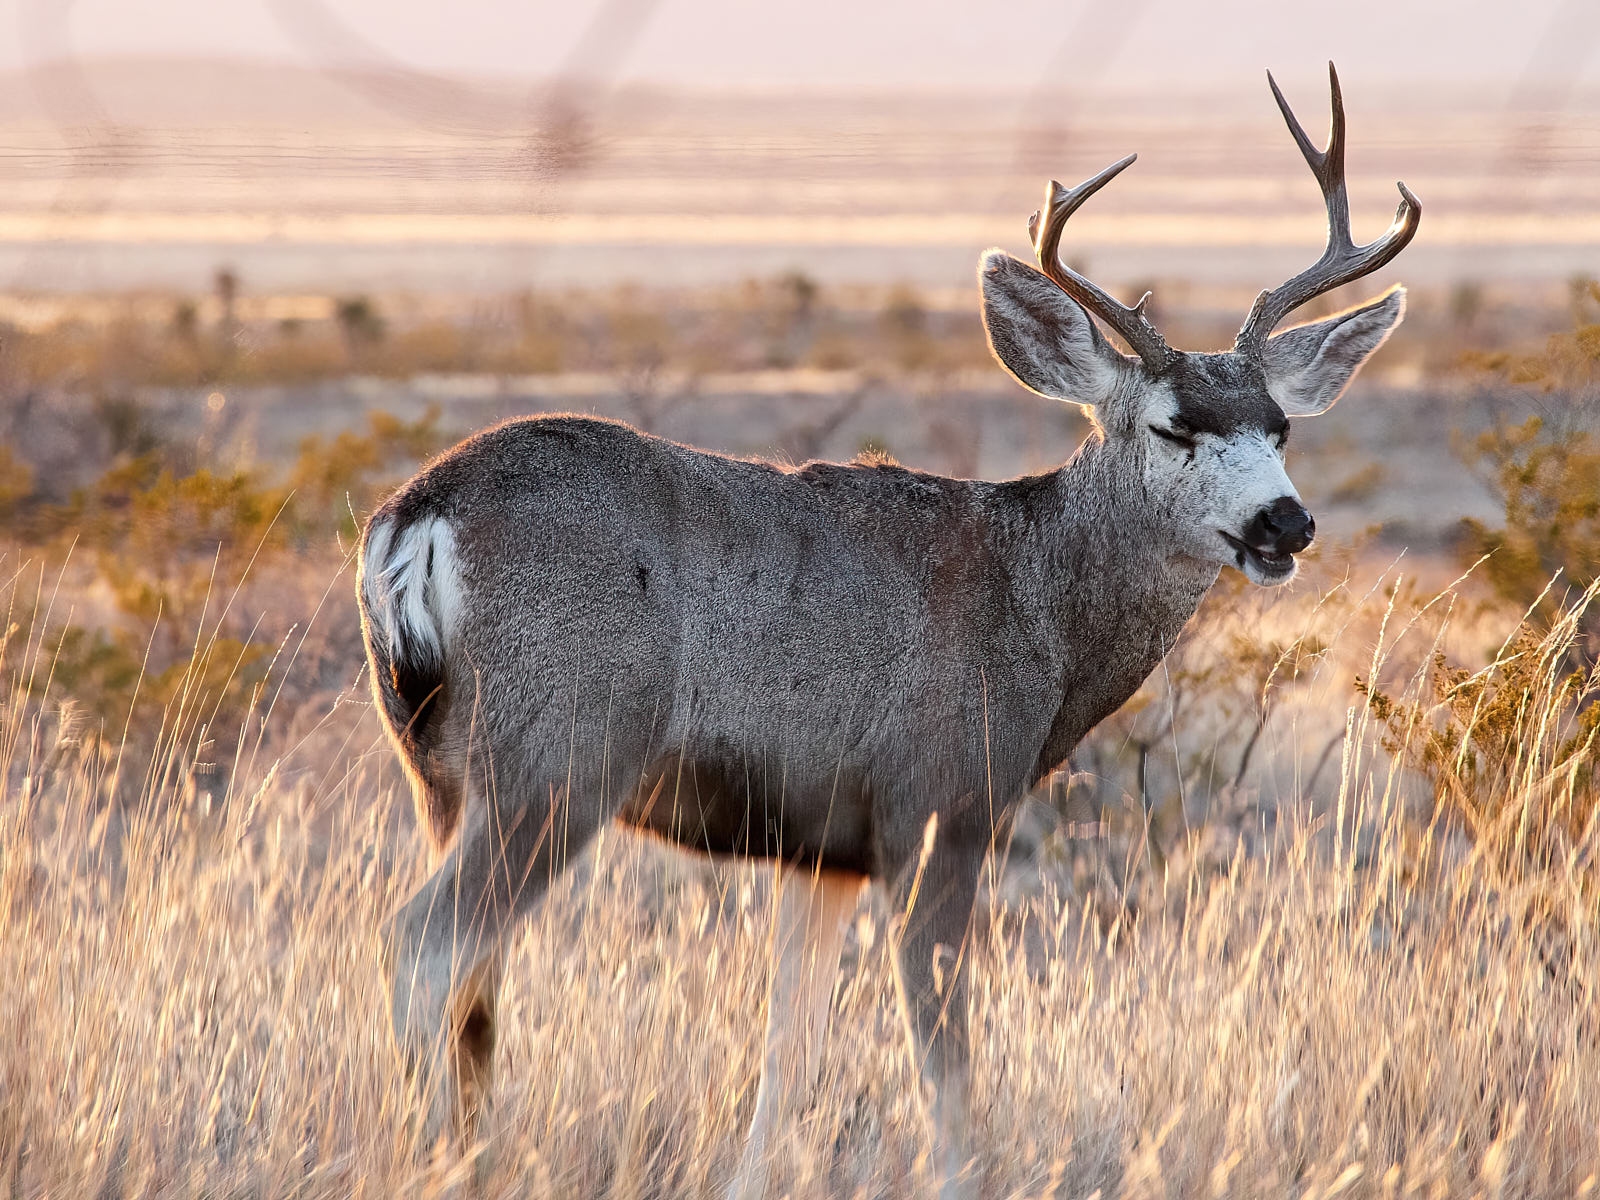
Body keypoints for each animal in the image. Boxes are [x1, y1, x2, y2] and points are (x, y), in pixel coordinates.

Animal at [360, 65, 1414, 1200]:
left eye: (1280, 426)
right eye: (1175, 426)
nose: (1285, 524)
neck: (1033, 606)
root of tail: (415, 516)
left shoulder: (821, 847)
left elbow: (790, 1045)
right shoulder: (941, 799)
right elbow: (942, 1050)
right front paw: (961, 1174)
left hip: (444, 771)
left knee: (472, 977)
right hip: (560, 752)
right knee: (425, 943)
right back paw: (429, 1159)